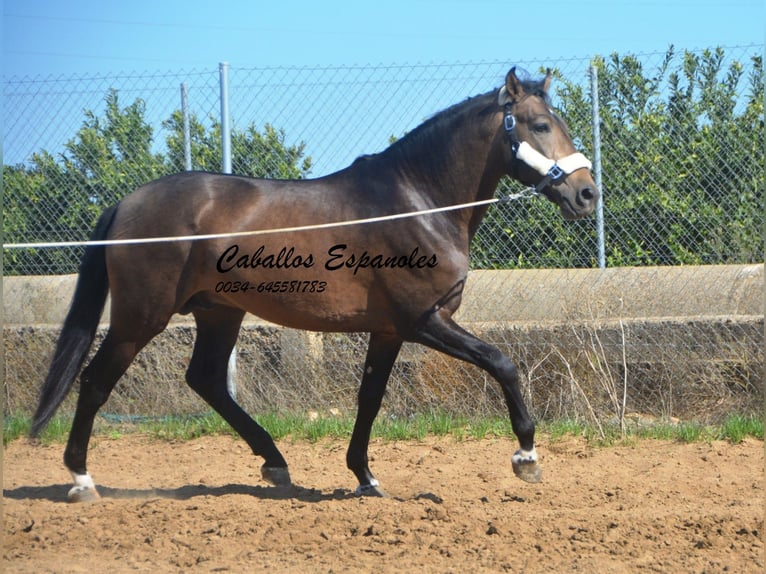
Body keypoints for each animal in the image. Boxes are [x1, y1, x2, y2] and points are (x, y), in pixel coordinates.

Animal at [31, 67, 600, 502]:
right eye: (540, 124)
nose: (586, 193)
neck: (418, 202)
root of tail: (127, 203)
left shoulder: (389, 330)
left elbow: (370, 397)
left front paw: (366, 477)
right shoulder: (425, 320)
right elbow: (502, 363)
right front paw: (526, 456)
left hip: (219, 311)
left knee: (207, 380)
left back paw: (275, 463)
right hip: (140, 317)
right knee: (95, 381)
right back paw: (82, 479)